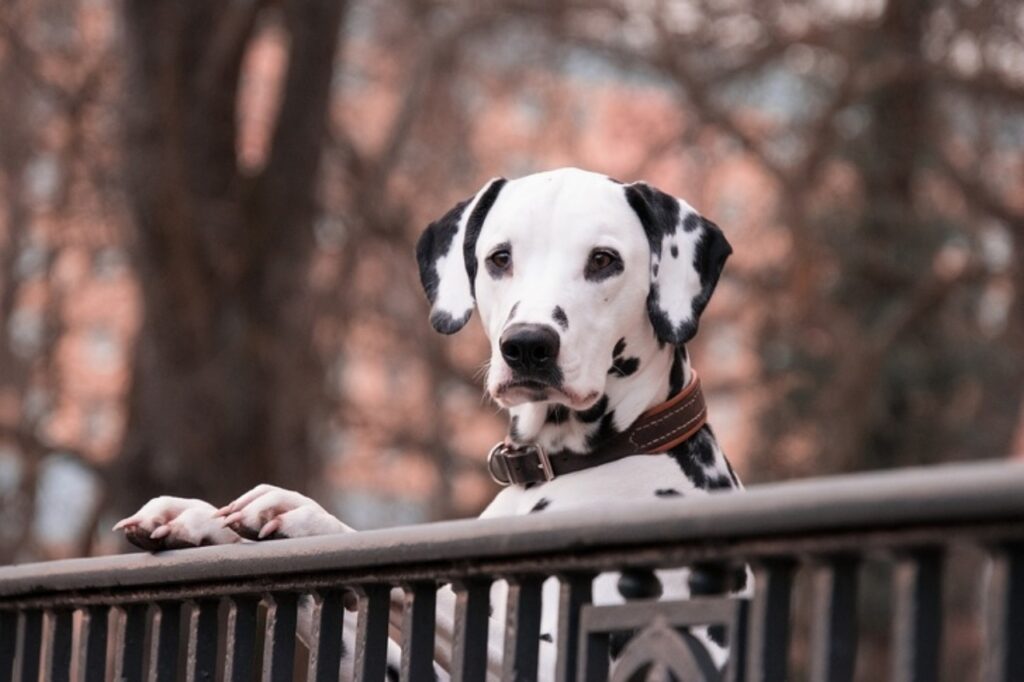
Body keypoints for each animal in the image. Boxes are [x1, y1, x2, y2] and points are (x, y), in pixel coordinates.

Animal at [114, 166, 745, 675]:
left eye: (604, 261)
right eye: (499, 258)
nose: (528, 345)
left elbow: (424, 584)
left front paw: (305, 516)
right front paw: (199, 519)